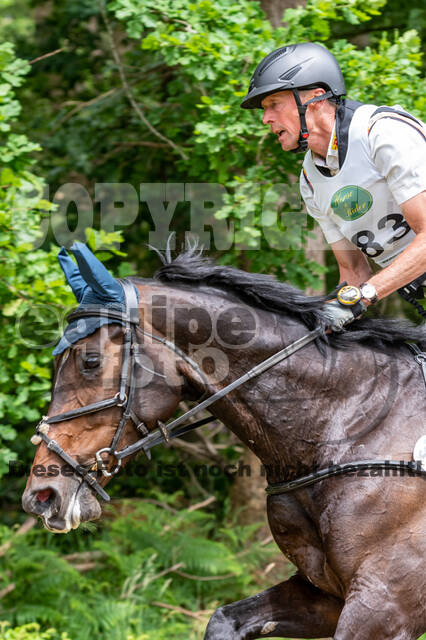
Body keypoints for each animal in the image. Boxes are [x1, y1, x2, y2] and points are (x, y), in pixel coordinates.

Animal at [22, 242, 426, 640]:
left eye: (90, 361)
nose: (40, 496)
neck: (349, 425)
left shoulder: (385, 602)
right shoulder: (324, 592)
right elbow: (222, 620)